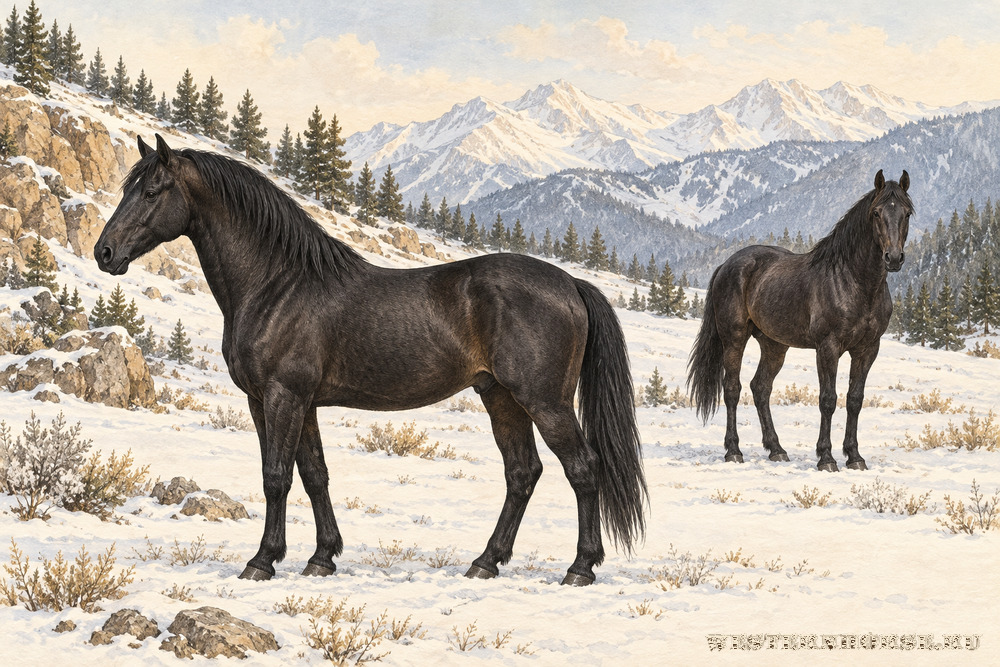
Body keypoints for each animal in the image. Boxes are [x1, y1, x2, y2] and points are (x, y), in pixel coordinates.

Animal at [95, 134, 647, 586]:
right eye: (128, 188)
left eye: (151, 191)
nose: (104, 253)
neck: (277, 284)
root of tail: (569, 283)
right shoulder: (294, 403)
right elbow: (314, 475)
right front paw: (322, 557)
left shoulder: (281, 397)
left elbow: (276, 477)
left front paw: (262, 561)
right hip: (501, 397)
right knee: (522, 473)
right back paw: (485, 562)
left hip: (544, 400)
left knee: (582, 468)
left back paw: (580, 568)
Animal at [687, 170, 912, 471]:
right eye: (876, 213)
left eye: (907, 213)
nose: (894, 258)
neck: (853, 281)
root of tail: (727, 264)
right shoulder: (828, 348)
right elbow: (828, 400)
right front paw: (826, 458)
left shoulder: (867, 349)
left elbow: (855, 399)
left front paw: (854, 457)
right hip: (733, 338)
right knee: (732, 388)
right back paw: (734, 451)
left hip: (774, 345)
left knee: (761, 388)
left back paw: (776, 450)